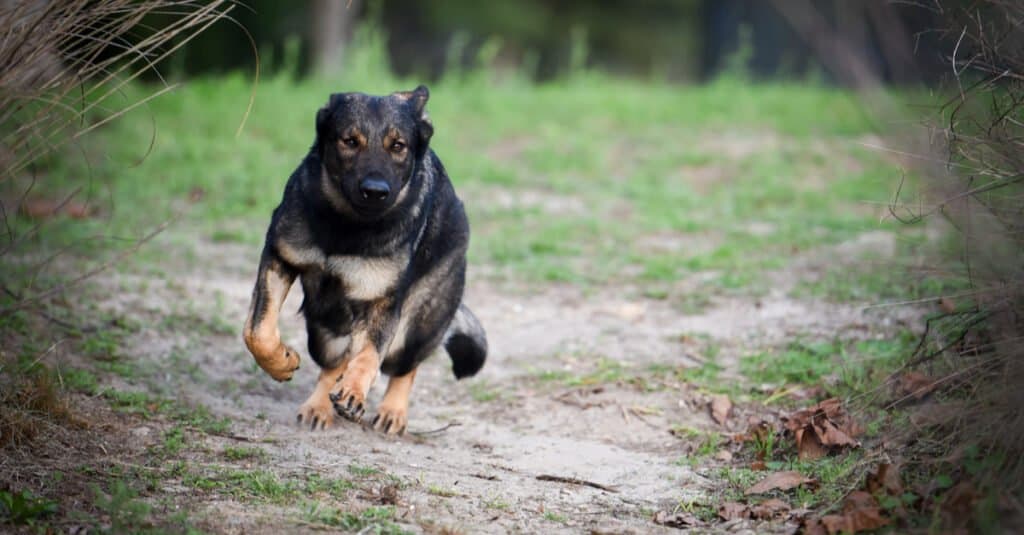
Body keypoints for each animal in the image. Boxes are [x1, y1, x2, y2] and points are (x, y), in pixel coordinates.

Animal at [241, 84, 485, 432]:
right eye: (350, 141)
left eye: (398, 146)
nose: (375, 191)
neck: (347, 226)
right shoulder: (279, 258)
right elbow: (257, 331)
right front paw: (280, 363)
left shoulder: (381, 303)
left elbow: (369, 356)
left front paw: (354, 391)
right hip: (324, 328)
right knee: (334, 363)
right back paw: (319, 406)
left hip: (414, 326)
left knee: (403, 366)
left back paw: (392, 410)